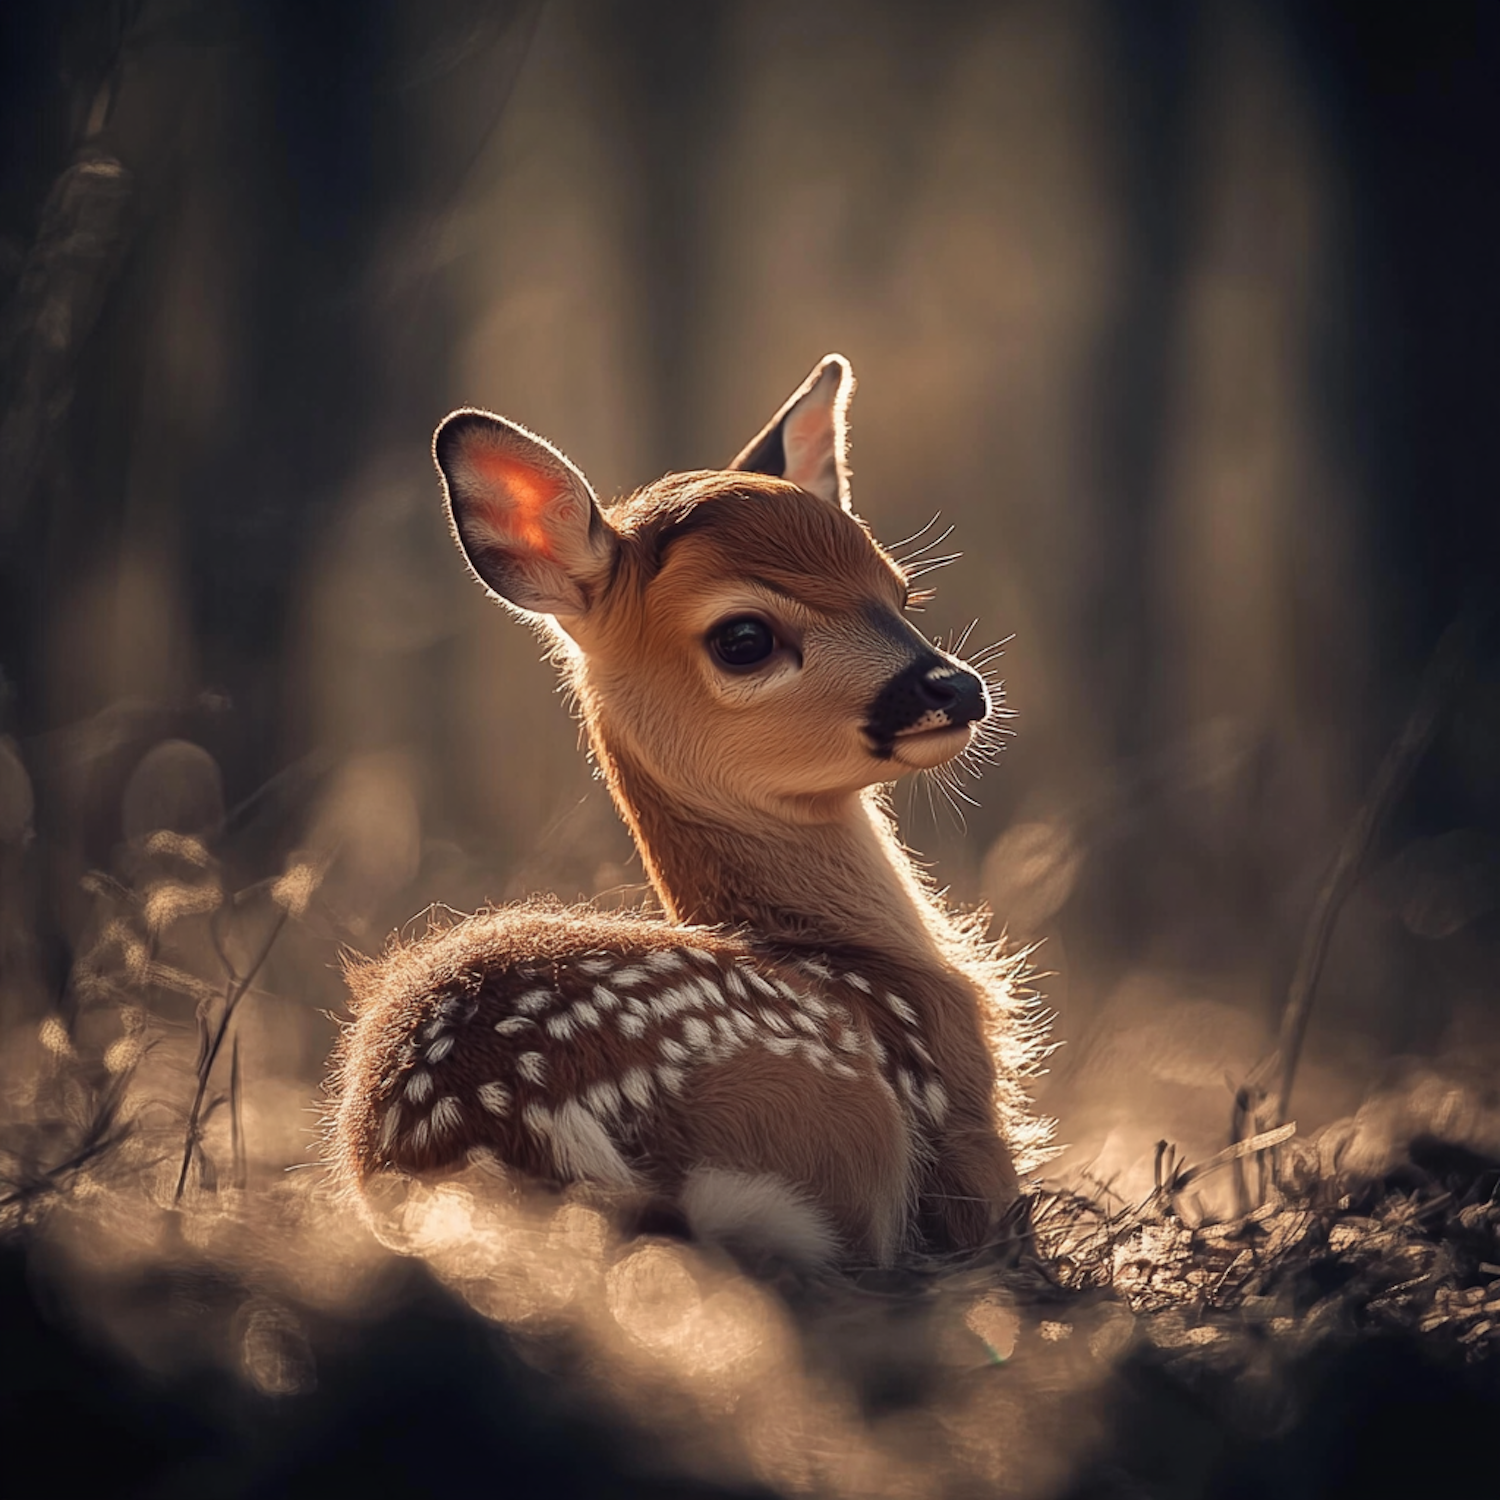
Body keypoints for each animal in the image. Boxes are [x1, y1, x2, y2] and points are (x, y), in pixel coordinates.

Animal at [333, 357, 1050, 1260]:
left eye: (899, 592)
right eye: (744, 638)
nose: (952, 687)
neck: (861, 958)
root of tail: (519, 1138)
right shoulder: (966, 1134)